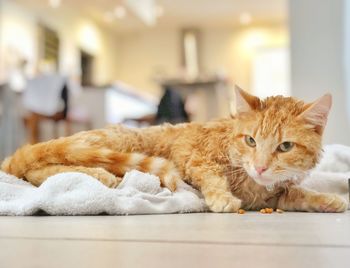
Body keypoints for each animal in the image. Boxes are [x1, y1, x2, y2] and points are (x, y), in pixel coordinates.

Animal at [2, 89, 348, 213]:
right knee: (38, 170)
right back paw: (100, 176)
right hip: (111, 144)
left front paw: (328, 199)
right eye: (250, 141)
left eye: (285, 146)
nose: (261, 167)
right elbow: (212, 176)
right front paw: (222, 197)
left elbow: (297, 194)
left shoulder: (271, 196)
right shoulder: (195, 156)